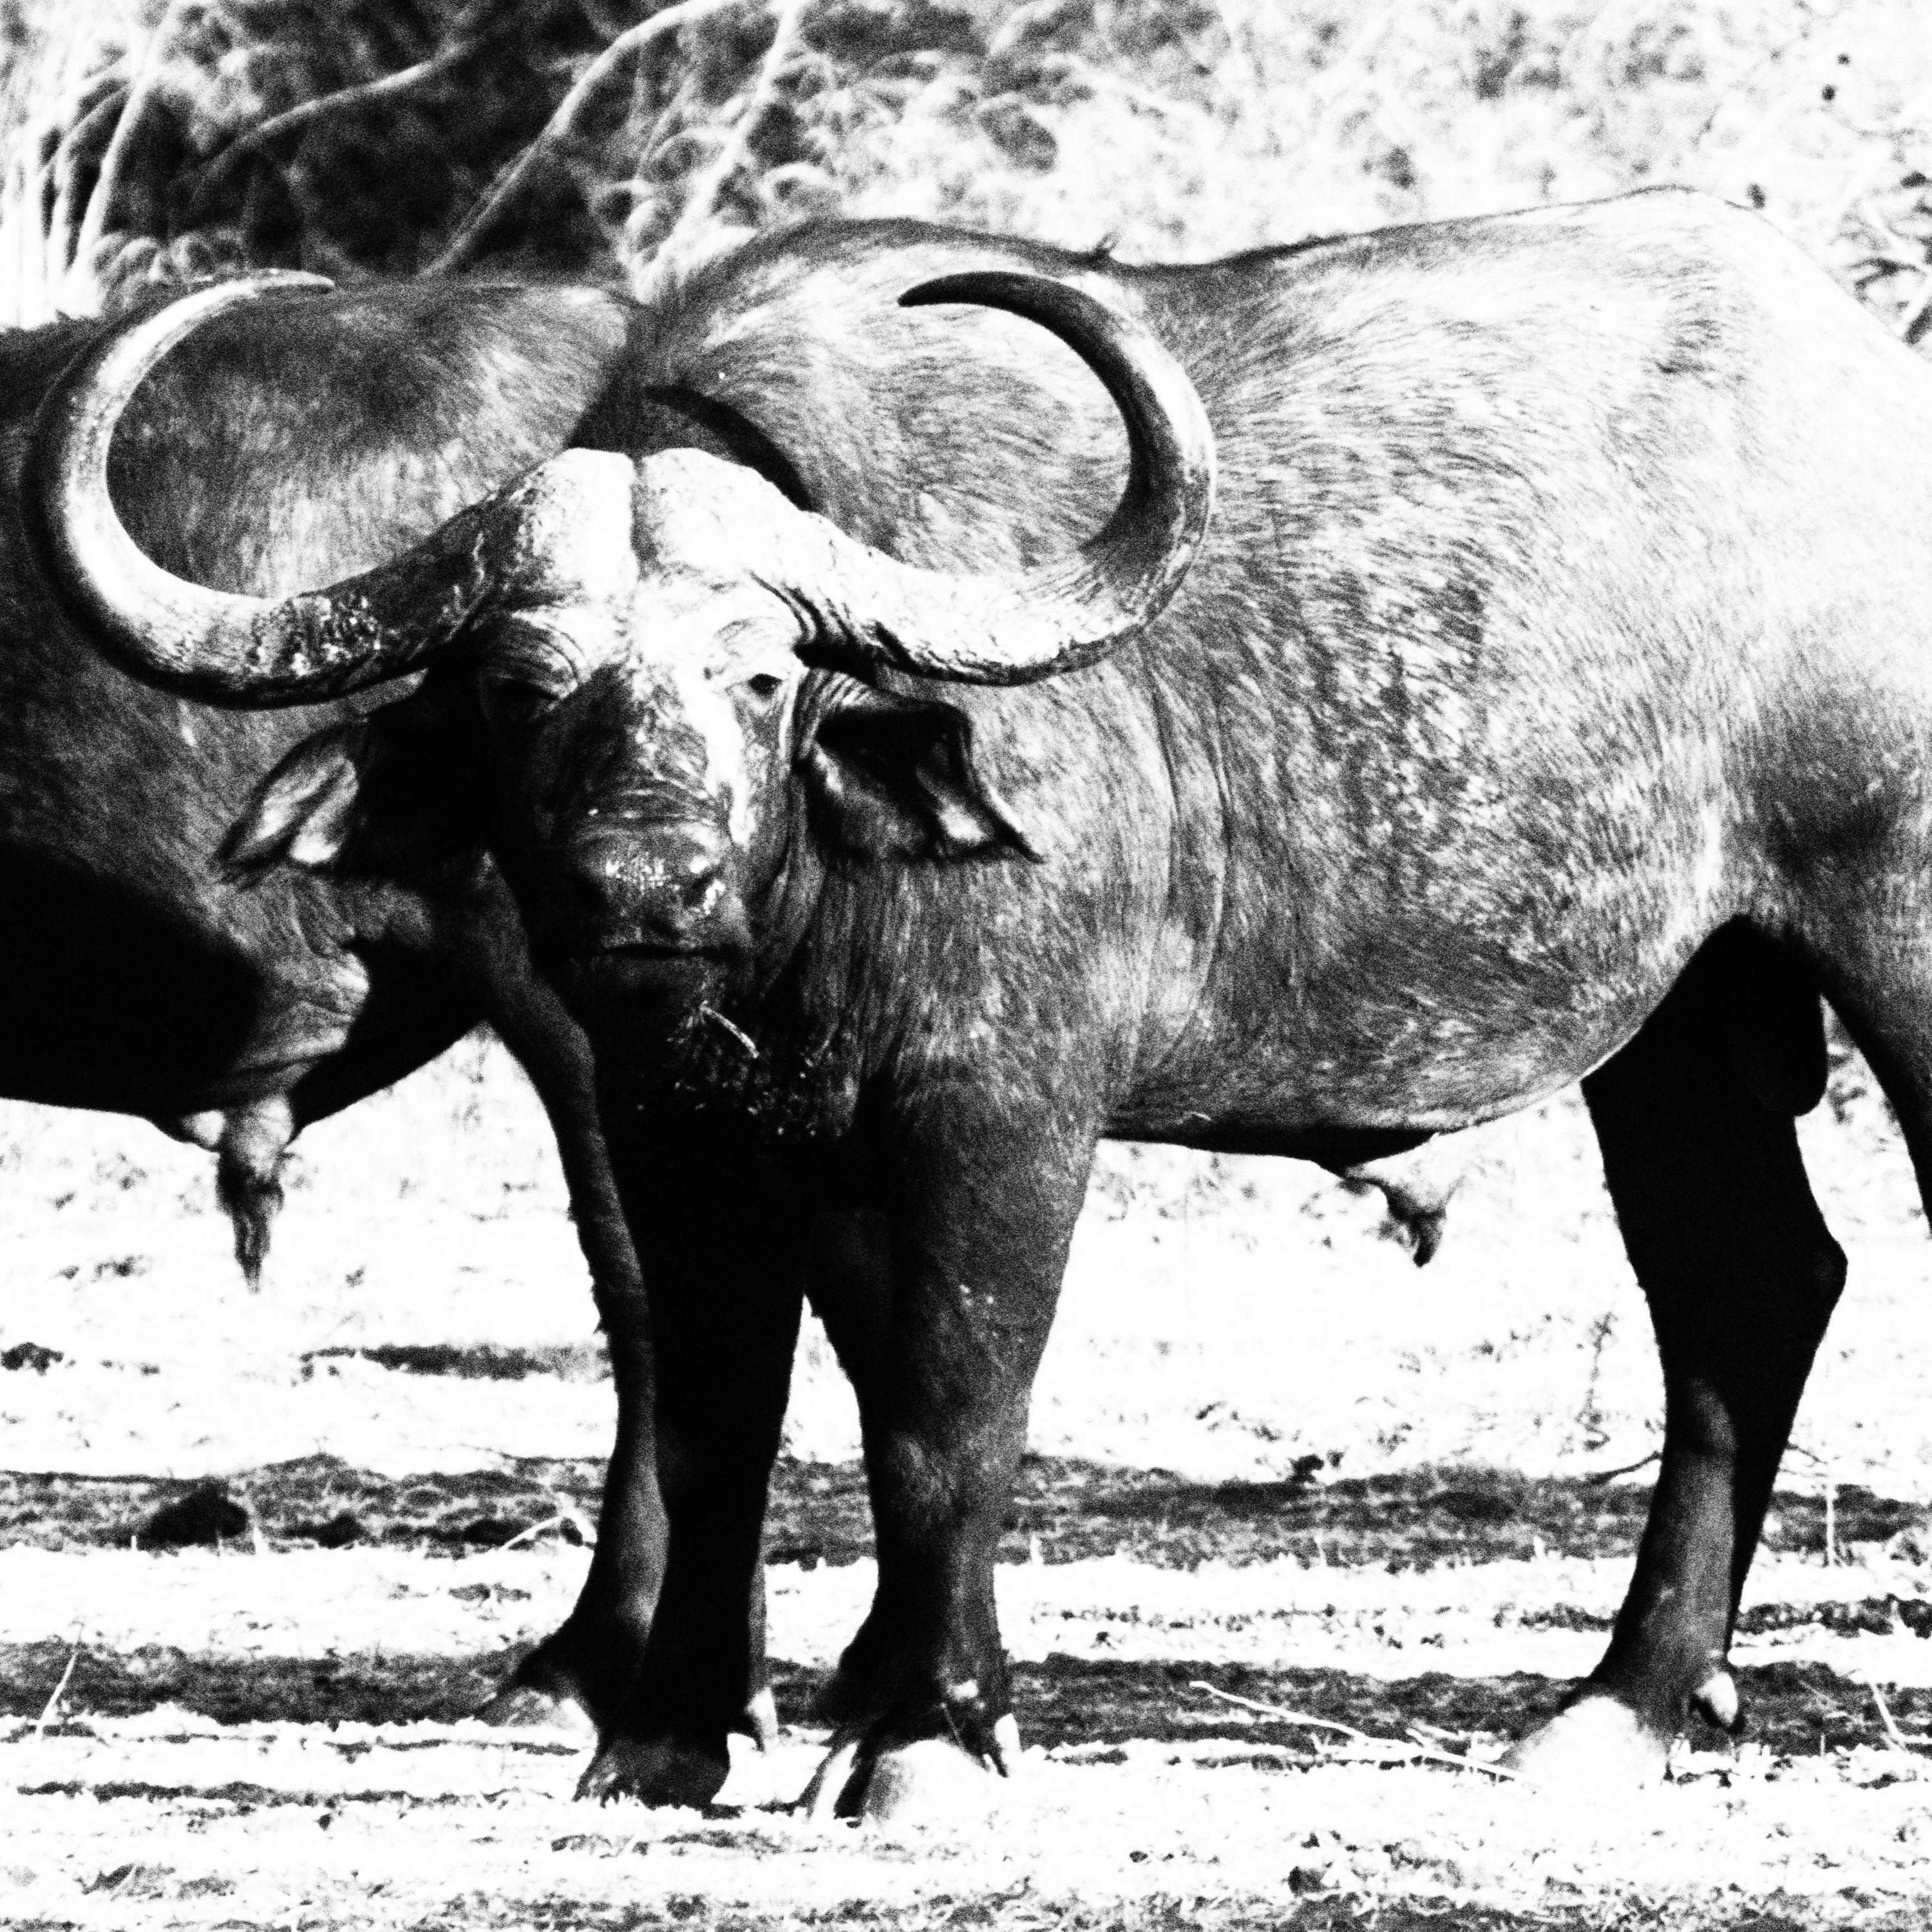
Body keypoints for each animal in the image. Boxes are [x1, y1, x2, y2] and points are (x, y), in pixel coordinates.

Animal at [32, 186, 1918, 1816]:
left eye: (760, 674)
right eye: (517, 684)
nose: (643, 888)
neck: (810, 909)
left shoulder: (996, 1119)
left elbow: (949, 1409)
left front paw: (925, 1733)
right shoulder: (681, 1131)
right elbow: (729, 1409)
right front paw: (686, 1727)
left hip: (1880, 939)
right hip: (1680, 1021)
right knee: (1745, 1292)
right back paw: (1624, 1707)